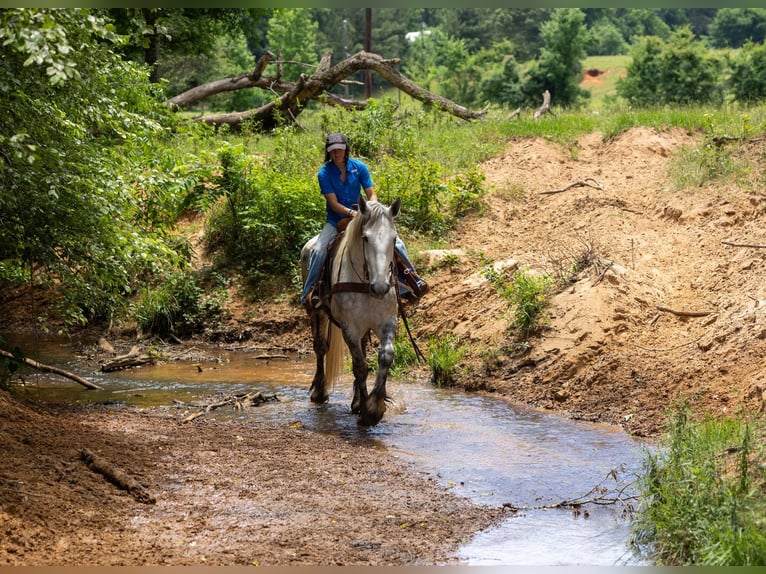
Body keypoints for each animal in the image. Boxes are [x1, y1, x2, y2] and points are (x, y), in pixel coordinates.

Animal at [300, 195, 401, 426]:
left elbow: (385, 357)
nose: (380, 287)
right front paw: (367, 412)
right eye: (365, 238)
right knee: (320, 348)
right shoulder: (349, 328)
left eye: (393, 239)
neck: (365, 283)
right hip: (316, 313)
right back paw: (319, 392)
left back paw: (354, 401)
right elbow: (360, 366)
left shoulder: (387, 321)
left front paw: (373, 404)